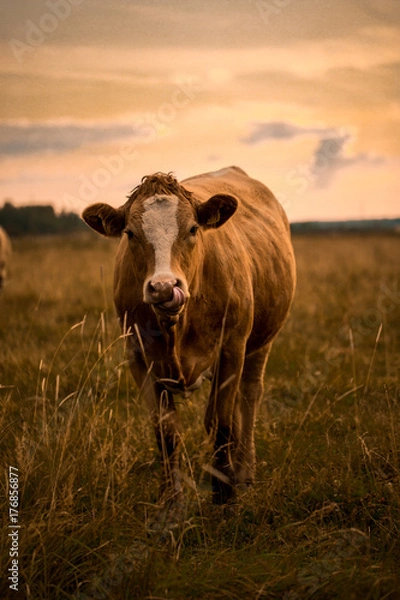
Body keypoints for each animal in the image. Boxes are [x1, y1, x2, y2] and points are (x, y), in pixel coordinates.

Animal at [83, 168, 296, 516]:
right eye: (130, 233)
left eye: (193, 229)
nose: (163, 286)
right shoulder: (138, 357)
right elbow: (166, 431)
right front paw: (172, 502)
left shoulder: (231, 347)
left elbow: (221, 423)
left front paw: (224, 496)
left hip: (260, 344)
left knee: (249, 398)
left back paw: (245, 472)